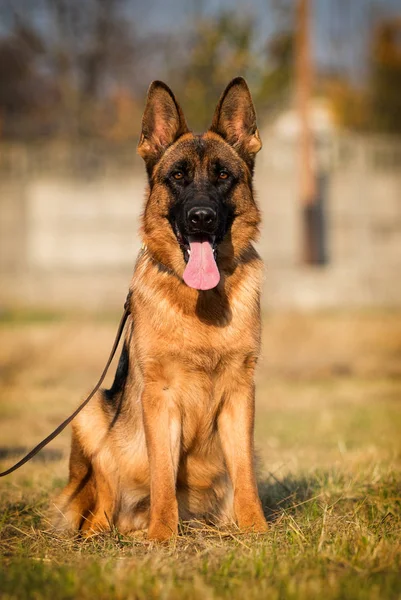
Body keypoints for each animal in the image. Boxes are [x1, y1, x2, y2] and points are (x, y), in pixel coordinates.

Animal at [53, 77, 266, 540]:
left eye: (224, 175)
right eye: (177, 176)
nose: (201, 218)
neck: (202, 305)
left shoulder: (241, 395)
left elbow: (244, 473)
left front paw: (256, 528)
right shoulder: (160, 398)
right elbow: (164, 476)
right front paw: (163, 537)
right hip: (91, 414)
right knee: (101, 506)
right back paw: (105, 533)